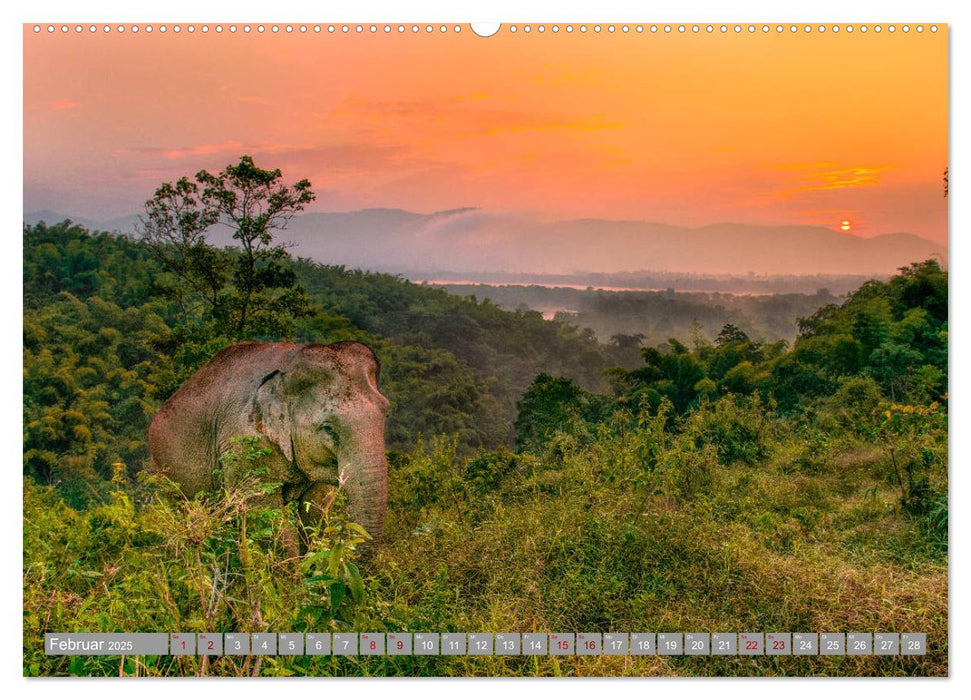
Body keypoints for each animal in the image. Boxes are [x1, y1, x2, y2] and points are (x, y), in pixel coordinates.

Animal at [148, 342, 392, 548]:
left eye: (386, 412)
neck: (287, 368)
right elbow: (265, 515)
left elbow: (316, 510)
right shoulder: (244, 444)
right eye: (328, 428)